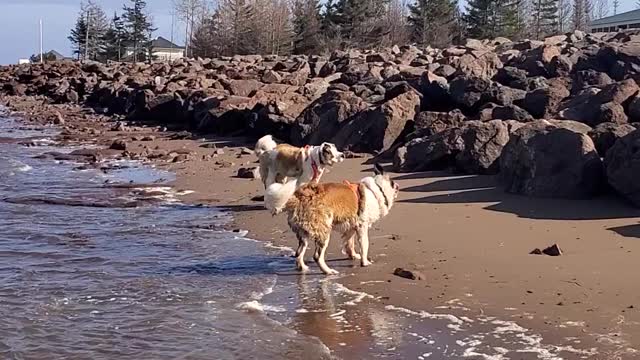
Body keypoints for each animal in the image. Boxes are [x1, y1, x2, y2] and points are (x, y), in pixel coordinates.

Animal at [264, 164, 396, 276]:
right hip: (323, 232)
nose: (398, 186)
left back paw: (303, 268)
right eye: (393, 183)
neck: (376, 190)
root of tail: (300, 197)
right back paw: (328, 271)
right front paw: (365, 262)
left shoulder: (351, 227)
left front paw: (353, 255)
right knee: (317, 256)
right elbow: (364, 245)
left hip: (303, 233)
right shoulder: (362, 227)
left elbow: (349, 243)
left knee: (299, 252)